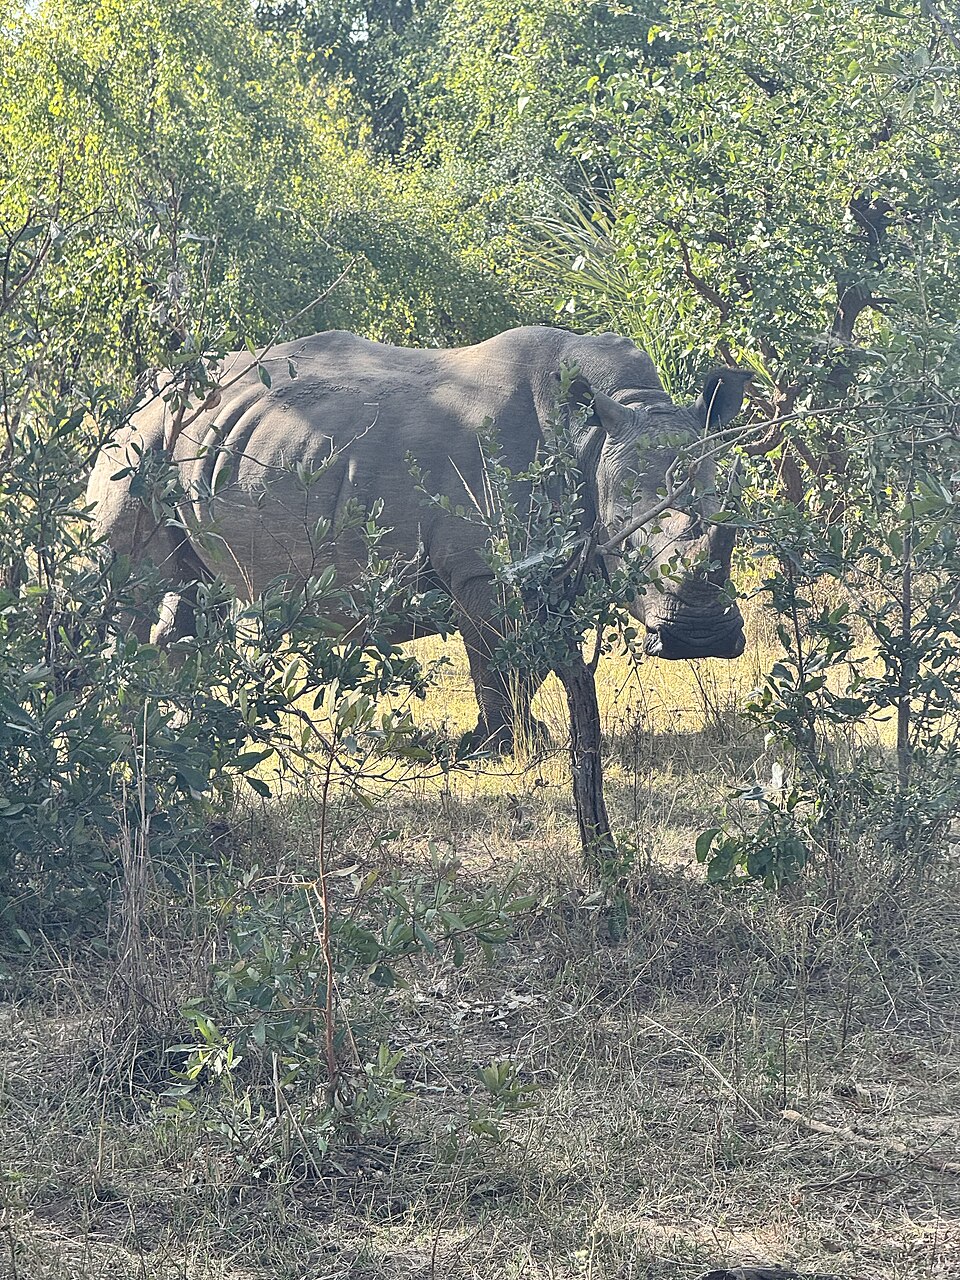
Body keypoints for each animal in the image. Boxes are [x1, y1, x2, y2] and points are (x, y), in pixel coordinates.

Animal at [87, 326, 749, 748]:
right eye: (629, 542)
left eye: (734, 514)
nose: (702, 637)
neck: (592, 434)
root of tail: (143, 395)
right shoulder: (485, 566)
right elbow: (498, 659)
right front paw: (500, 748)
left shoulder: (559, 563)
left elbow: (528, 660)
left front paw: (510, 739)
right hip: (139, 444)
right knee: (135, 583)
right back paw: (126, 724)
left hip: (198, 440)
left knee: (189, 588)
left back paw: (179, 724)